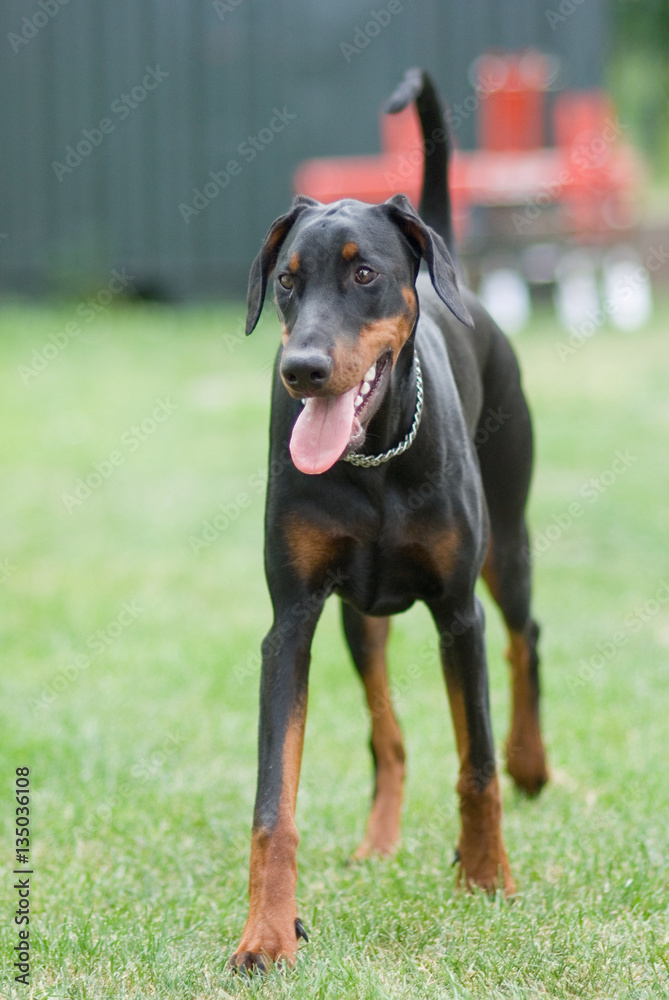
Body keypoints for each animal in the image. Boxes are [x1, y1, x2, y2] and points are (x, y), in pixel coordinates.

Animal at [232, 68, 544, 968]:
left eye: (364, 274)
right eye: (287, 280)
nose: (301, 369)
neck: (371, 464)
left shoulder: (455, 611)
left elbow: (474, 763)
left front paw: (487, 878)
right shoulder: (291, 620)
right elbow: (274, 804)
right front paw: (268, 934)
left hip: (506, 546)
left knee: (525, 637)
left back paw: (531, 763)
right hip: (356, 618)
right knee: (386, 730)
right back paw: (378, 841)